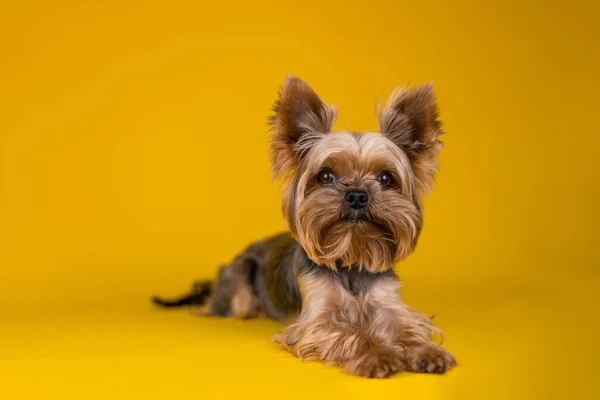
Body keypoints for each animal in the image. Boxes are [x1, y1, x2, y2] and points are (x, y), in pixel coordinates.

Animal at [154, 76, 454, 378]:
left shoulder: (388, 304)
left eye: (385, 178)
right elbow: (352, 334)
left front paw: (428, 351)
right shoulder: (315, 321)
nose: (357, 195)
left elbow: (406, 327)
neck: (351, 256)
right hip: (240, 280)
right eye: (326, 176)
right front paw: (378, 355)